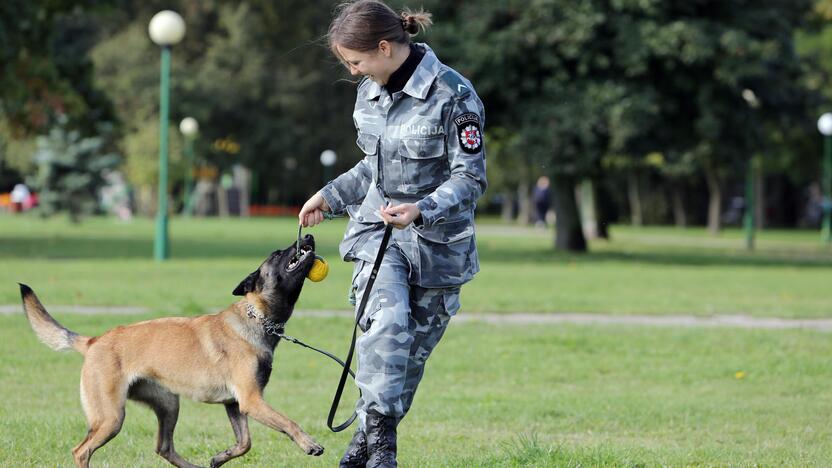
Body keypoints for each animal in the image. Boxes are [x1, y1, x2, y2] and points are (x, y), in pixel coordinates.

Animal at [18, 236, 324, 466]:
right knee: (81, 450)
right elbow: (288, 422)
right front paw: (309, 443)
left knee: (163, 447)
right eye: (277, 253)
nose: (308, 236)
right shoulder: (251, 400)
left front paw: (219, 457)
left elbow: (245, 443)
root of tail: (94, 341)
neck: (256, 318)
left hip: (168, 404)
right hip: (111, 418)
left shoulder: (236, 403)